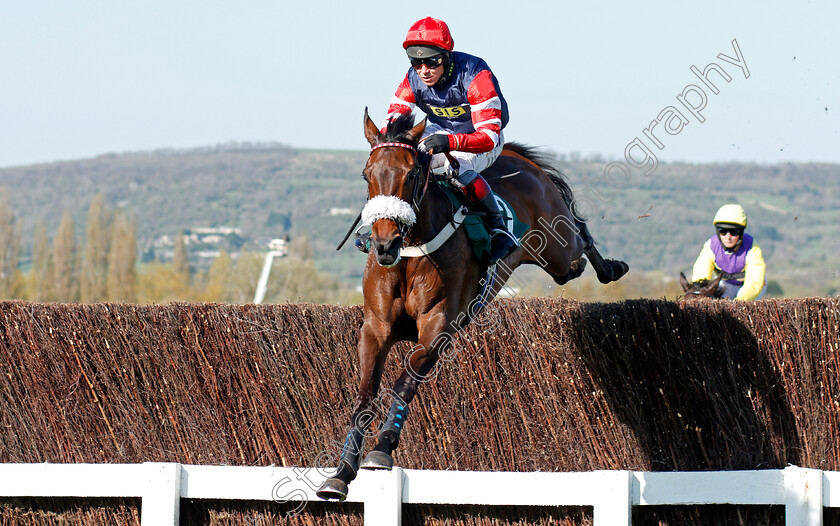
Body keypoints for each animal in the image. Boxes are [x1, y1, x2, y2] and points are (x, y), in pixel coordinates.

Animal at [316, 109, 632, 502]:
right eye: (367, 174)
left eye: (412, 173)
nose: (384, 243)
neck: (410, 254)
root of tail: (520, 159)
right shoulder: (375, 329)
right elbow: (363, 397)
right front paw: (341, 472)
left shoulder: (438, 327)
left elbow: (405, 381)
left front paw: (382, 449)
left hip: (559, 250)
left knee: (579, 236)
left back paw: (611, 267)